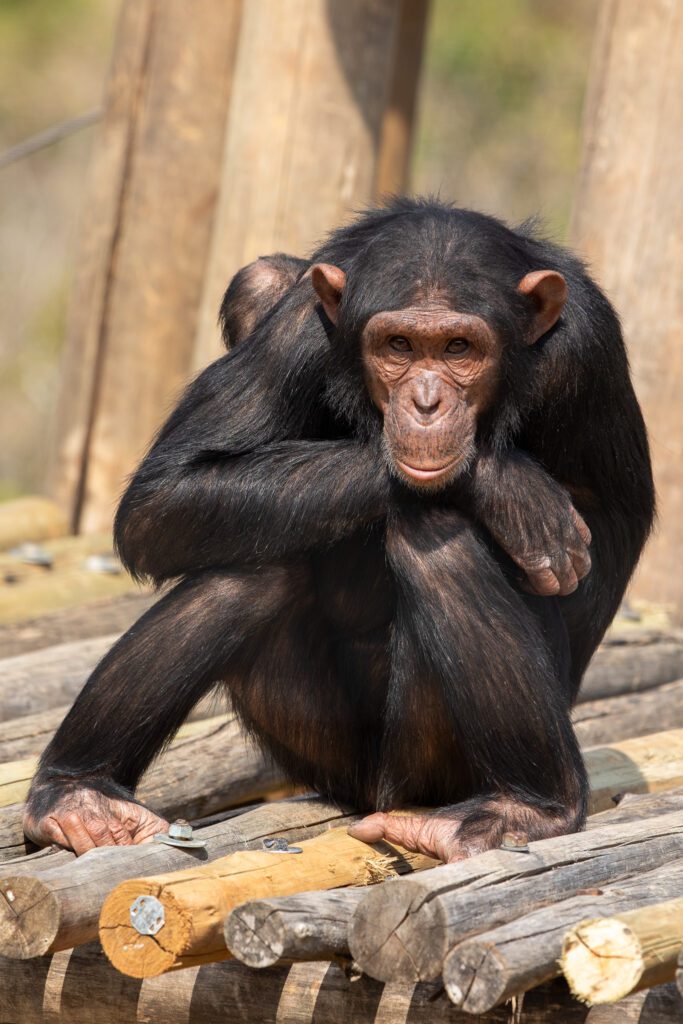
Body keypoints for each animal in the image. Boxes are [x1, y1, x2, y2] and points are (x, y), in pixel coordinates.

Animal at [25, 195, 655, 860]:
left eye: (459, 348)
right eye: (399, 345)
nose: (426, 403)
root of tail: (370, 795)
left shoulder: (587, 346)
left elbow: (609, 528)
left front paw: (503, 483)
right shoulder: (297, 331)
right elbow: (162, 498)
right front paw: (507, 484)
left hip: (427, 769)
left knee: (434, 537)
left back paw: (530, 808)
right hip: (316, 745)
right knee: (251, 569)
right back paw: (78, 793)